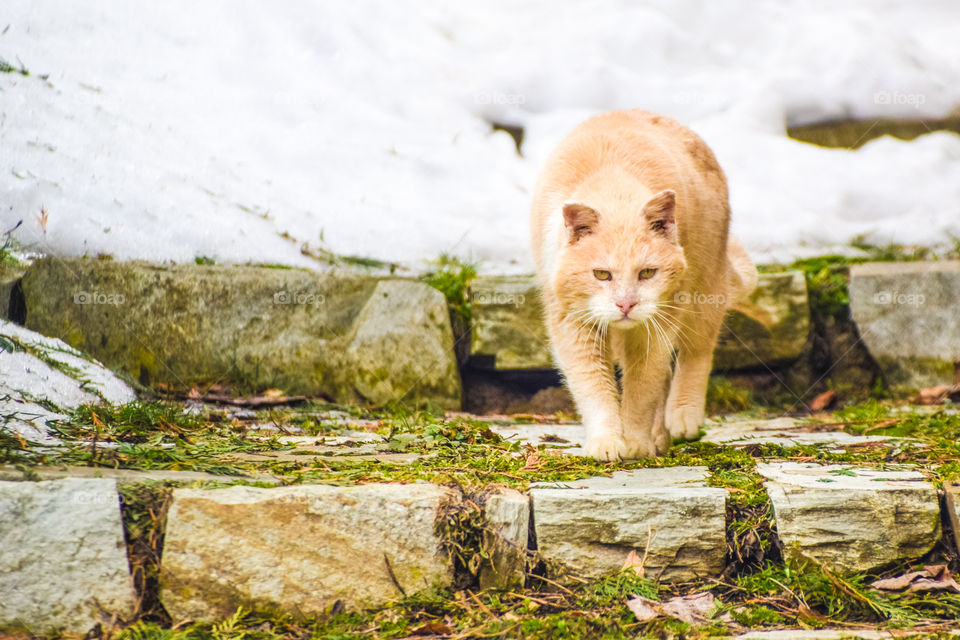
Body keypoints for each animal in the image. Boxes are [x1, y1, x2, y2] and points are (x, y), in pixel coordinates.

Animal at [528, 110, 752, 460]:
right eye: (601, 275)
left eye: (647, 273)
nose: (626, 304)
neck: (613, 187)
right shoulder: (574, 327)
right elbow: (595, 389)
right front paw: (607, 442)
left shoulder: (657, 326)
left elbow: (641, 389)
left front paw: (634, 443)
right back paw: (660, 436)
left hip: (705, 291)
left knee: (696, 354)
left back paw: (682, 418)